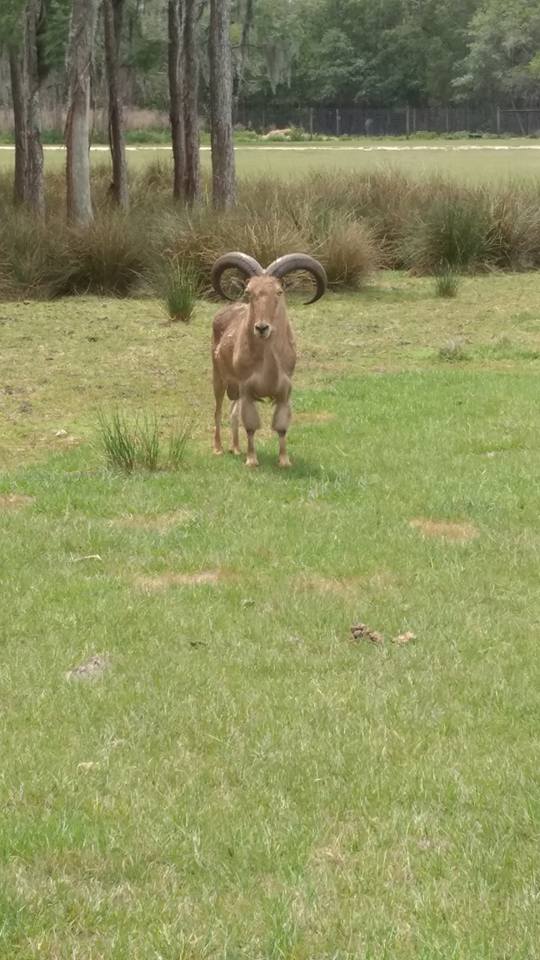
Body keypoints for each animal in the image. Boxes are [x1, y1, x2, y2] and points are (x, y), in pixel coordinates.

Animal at [211, 251, 327, 468]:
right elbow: (250, 425)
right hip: (219, 378)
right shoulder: (247, 389)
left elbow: (281, 426)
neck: (268, 364)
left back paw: (236, 448)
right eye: (249, 292)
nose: (262, 328)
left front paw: (284, 460)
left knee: (232, 412)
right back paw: (218, 448)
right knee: (218, 411)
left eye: (279, 292)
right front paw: (251, 459)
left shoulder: (284, 391)